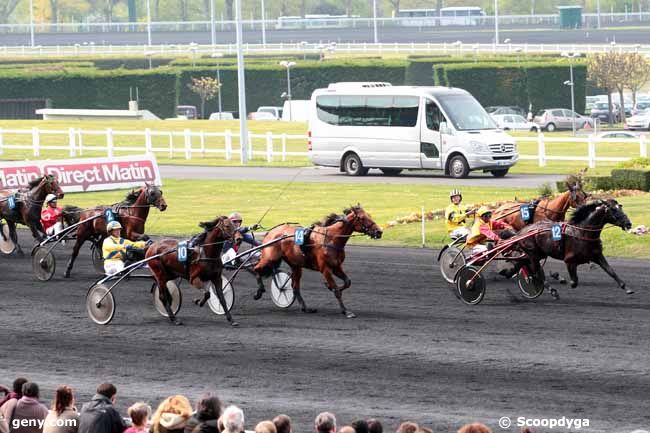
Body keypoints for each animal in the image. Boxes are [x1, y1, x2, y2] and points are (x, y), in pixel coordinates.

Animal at [253, 206, 382, 318]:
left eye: (369, 215)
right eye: (362, 218)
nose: (379, 232)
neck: (331, 239)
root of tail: (270, 232)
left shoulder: (337, 267)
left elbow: (347, 282)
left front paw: (330, 287)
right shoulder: (325, 269)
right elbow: (336, 290)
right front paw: (346, 311)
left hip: (296, 266)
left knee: (295, 286)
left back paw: (305, 308)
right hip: (270, 257)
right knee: (256, 269)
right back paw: (259, 292)